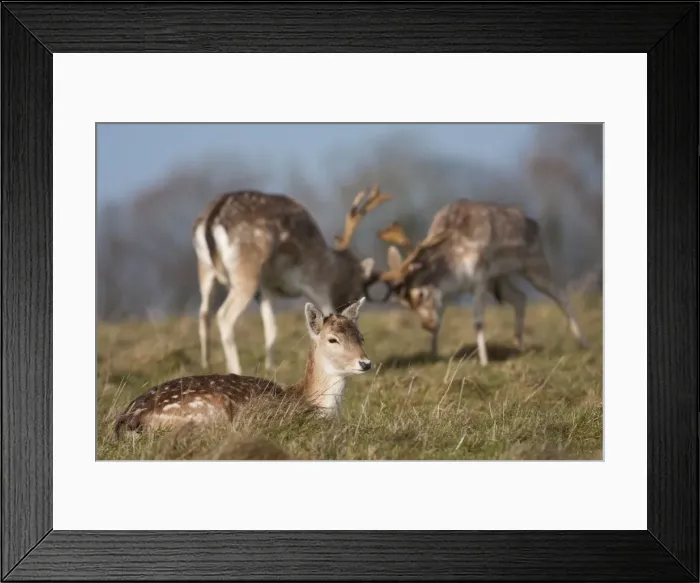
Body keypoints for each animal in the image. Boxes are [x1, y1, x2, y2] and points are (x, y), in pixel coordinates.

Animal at [113, 297, 371, 437]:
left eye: (361, 337)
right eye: (333, 340)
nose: (365, 363)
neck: (308, 400)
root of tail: (127, 421)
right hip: (209, 410)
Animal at [191, 185, 391, 376]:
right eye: (358, 285)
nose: (351, 302)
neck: (329, 265)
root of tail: (212, 217)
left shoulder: (266, 288)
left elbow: (271, 327)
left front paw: (270, 367)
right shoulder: (314, 280)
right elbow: (324, 311)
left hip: (205, 269)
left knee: (204, 312)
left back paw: (205, 364)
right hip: (246, 270)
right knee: (224, 316)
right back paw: (235, 369)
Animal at [376, 199, 590, 366]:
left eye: (421, 294)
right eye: (405, 304)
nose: (427, 325)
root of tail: (535, 224)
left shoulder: (479, 279)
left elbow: (478, 321)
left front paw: (484, 361)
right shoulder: (451, 292)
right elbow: (442, 317)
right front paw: (434, 355)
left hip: (534, 263)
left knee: (561, 294)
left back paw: (583, 343)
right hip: (500, 279)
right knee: (520, 297)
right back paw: (518, 346)